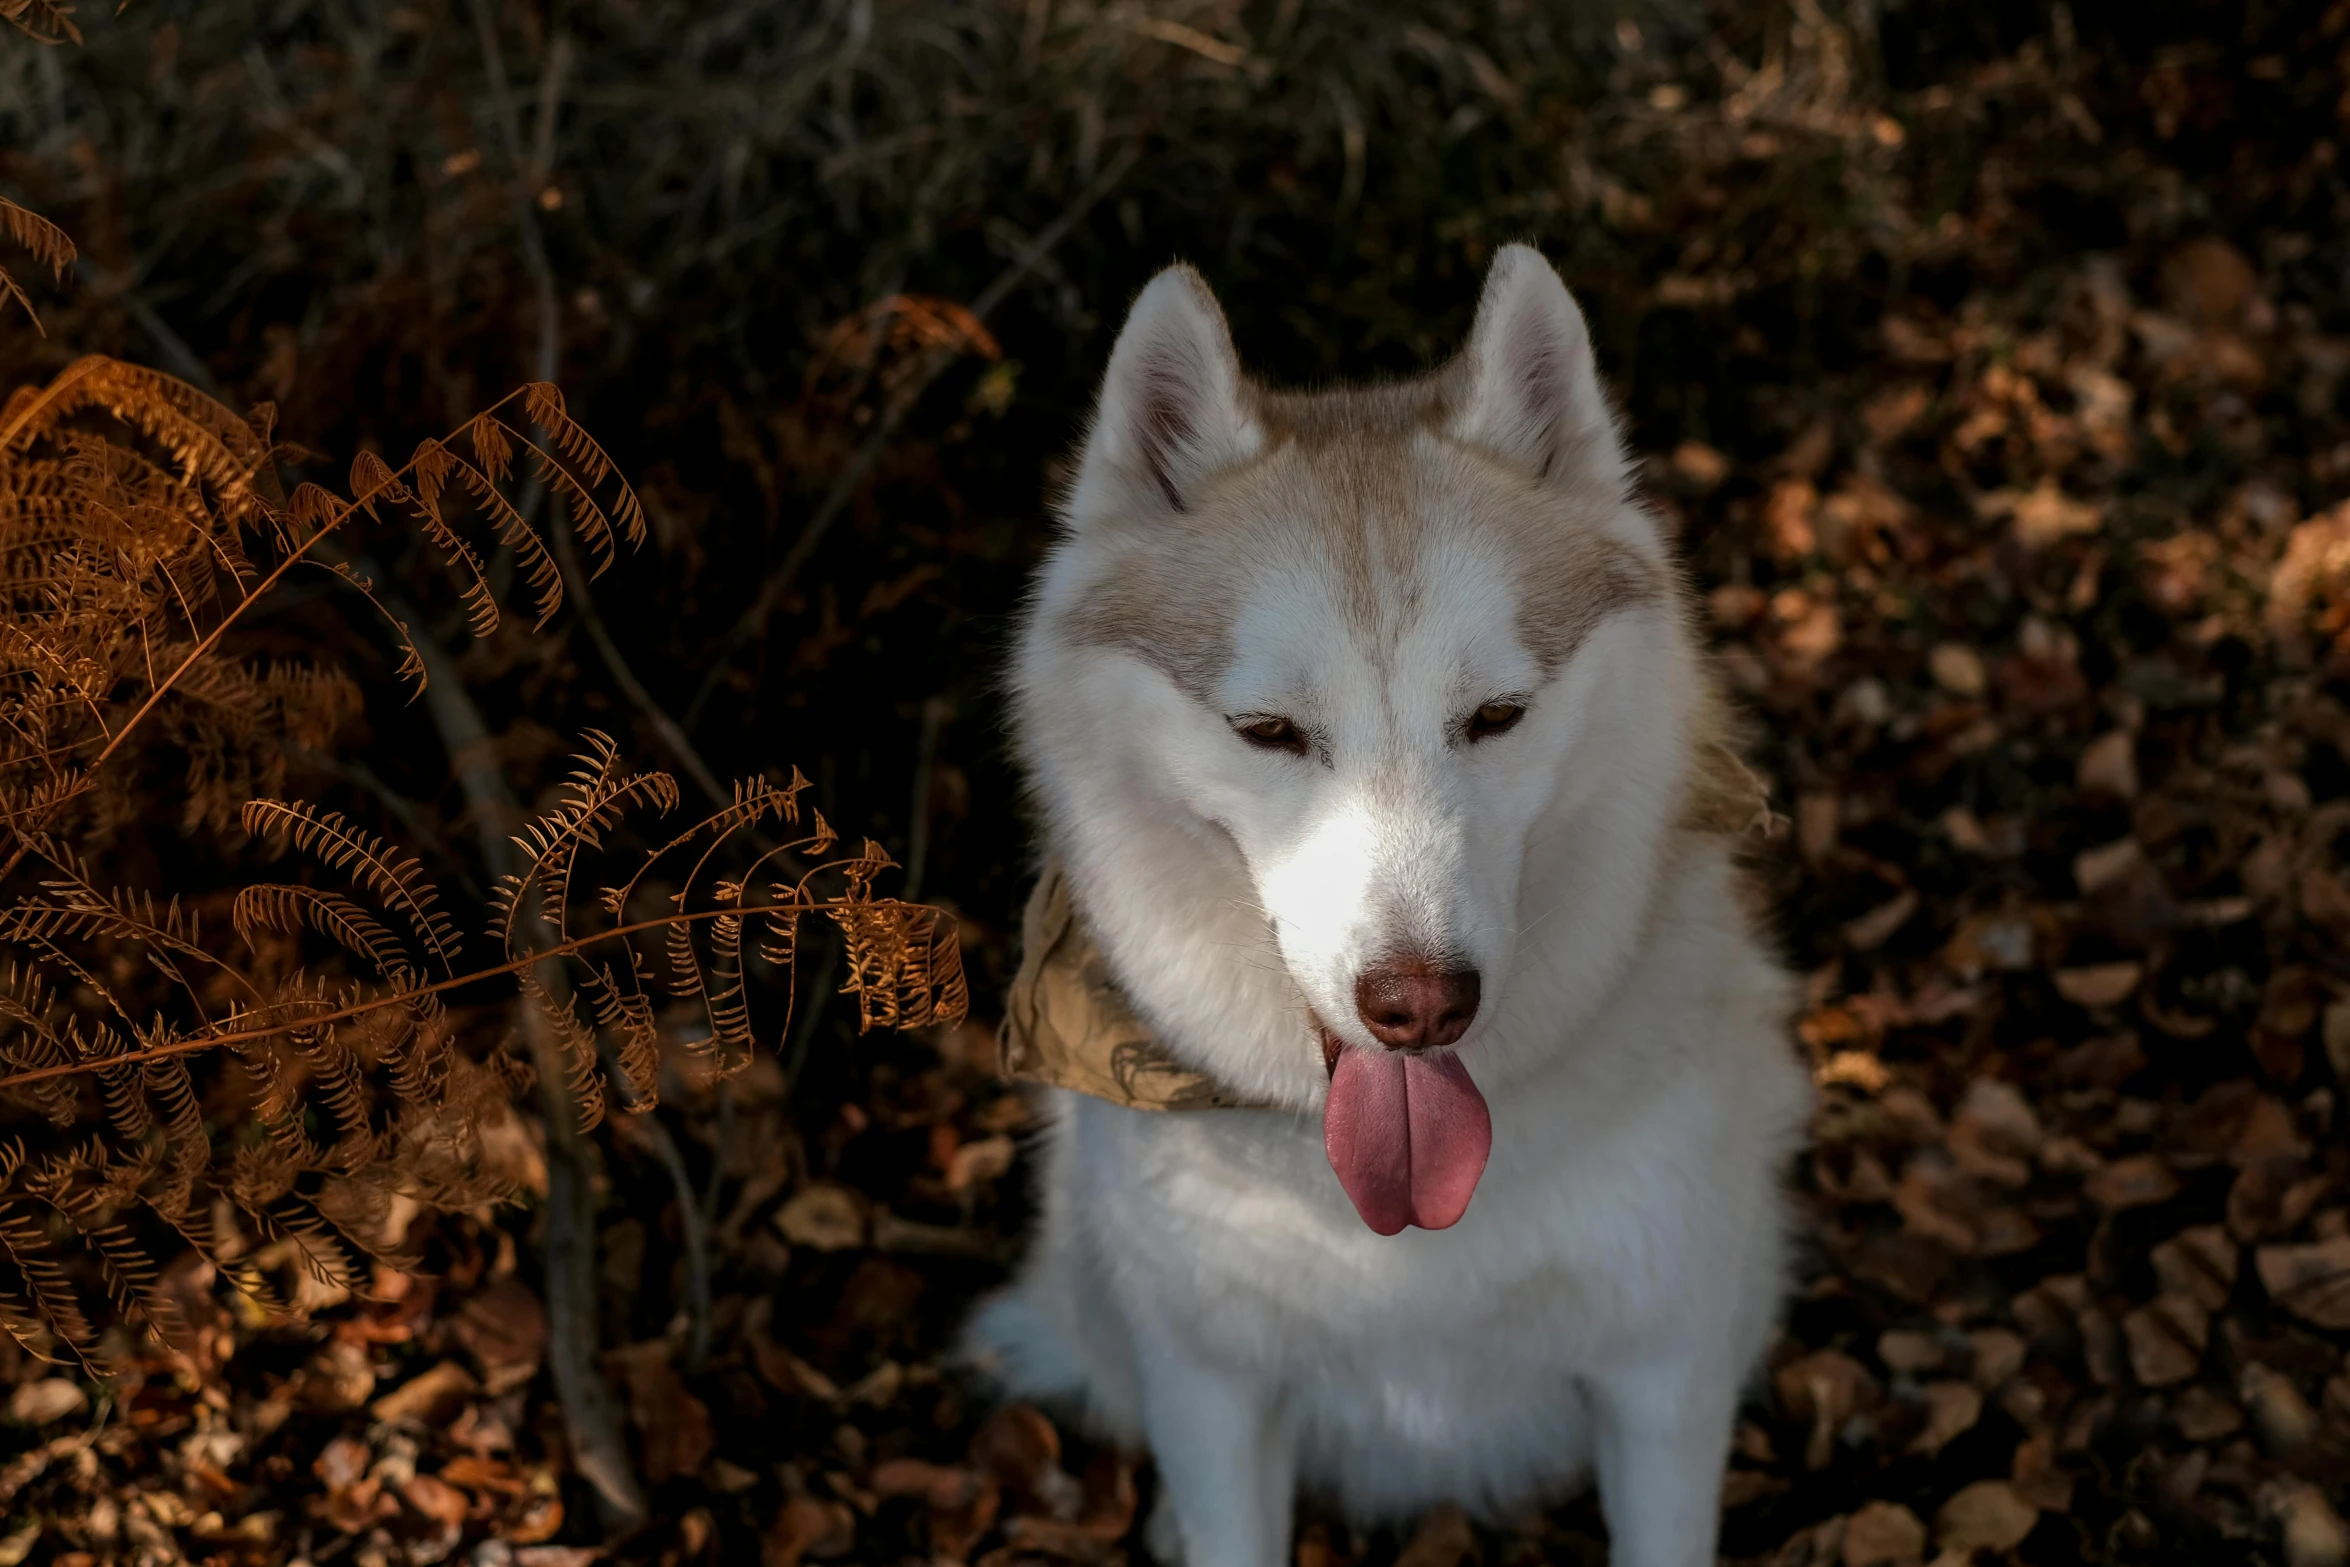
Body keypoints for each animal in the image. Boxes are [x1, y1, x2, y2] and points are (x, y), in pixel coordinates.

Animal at [963, 245, 1804, 1567]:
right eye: (1267, 732)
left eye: (1496, 717)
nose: (1420, 1003)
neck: (1400, 1242)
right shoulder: (1211, 1390)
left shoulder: (1663, 1377)